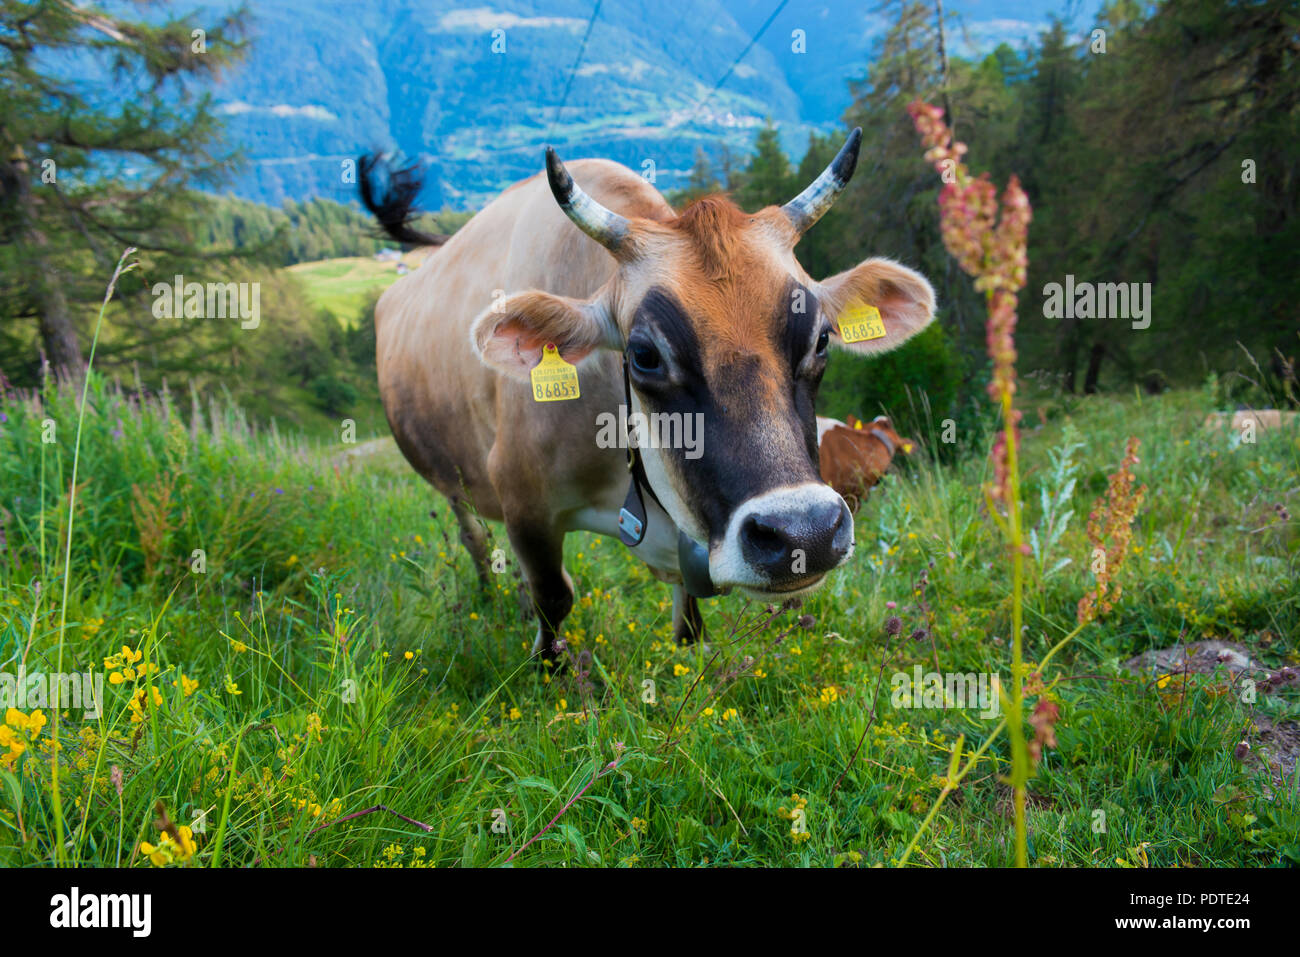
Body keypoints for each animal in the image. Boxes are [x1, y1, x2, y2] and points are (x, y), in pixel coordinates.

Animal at [360, 130, 935, 664]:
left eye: (820, 339)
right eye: (644, 354)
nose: (804, 535)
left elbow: (690, 623)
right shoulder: (523, 503)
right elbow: (553, 597)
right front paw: (550, 668)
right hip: (451, 481)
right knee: (474, 539)